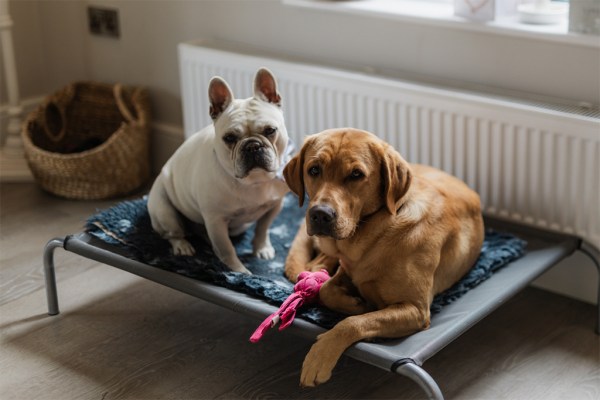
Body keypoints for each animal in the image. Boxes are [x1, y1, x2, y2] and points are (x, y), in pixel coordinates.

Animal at [282, 128, 482, 388]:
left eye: (356, 174)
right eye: (314, 170)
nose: (320, 214)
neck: (372, 233)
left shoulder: (416, 309)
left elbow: (353, 322)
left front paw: (321, 355)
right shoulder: (348, 270)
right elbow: (327, 290)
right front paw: (355, 303)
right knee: (318, 262)